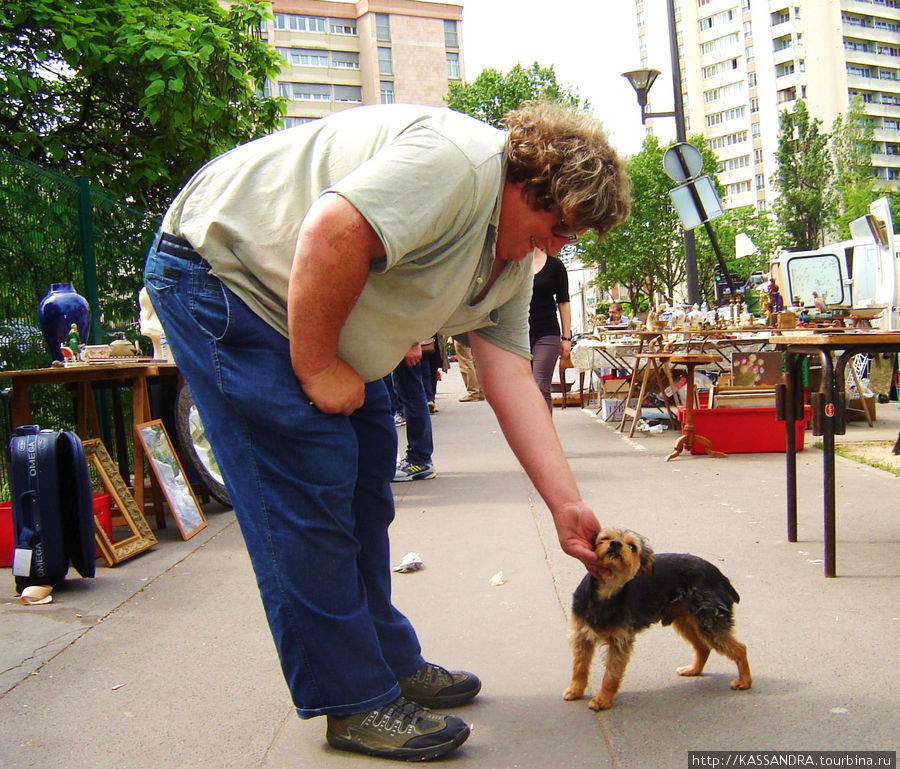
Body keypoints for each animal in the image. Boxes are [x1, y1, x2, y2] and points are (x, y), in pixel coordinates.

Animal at [564, 528, 752, 708]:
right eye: (604, 538)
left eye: (632, 547)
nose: (616, 544)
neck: (607, 592)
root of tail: (720, 576)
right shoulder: (582, 636)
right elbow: (579, 667)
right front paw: (575, 690)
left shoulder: (620, 643)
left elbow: (611, 675)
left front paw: (602, 700)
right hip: (687, 622)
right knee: (703, 648)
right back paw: (693, 670)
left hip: (710, 623)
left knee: (740, 649)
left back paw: (744, 681)